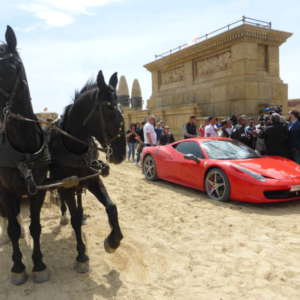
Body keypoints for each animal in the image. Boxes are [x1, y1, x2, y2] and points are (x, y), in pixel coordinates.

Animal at [49, 70, 125, 274]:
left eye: (120, 107)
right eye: (109, 109)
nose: (122, 153)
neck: (73, 147)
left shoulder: (92, 179)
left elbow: (112, 206)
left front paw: (113, 240)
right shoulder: (66, 185)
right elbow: (74, 218)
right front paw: (81, 254)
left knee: (79, 198)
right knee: (64, 201)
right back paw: (64, 215)